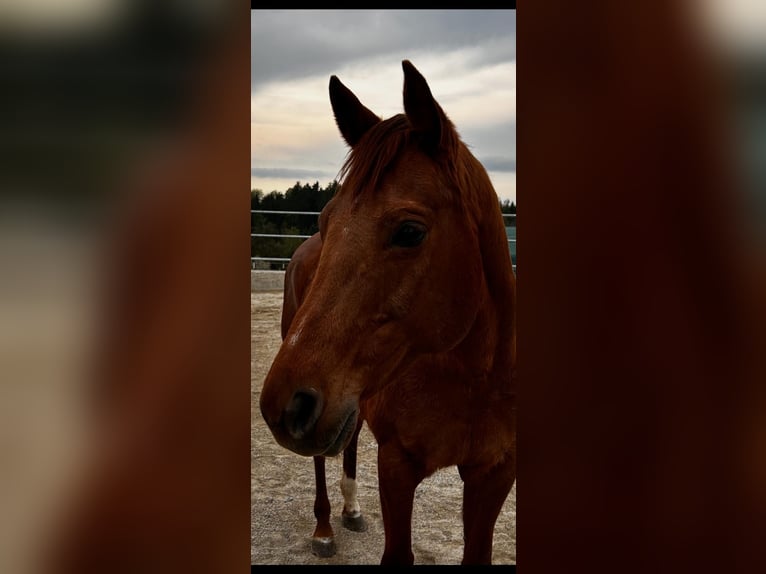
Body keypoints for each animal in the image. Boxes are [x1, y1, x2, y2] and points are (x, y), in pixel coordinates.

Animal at [260, 60, 516, 565]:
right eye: (327, 220)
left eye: (410, 231)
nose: (283, 404)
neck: (473, 378)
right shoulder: (397, 466)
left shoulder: (494, 473)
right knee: (320, 458)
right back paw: (325, 528)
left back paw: (352, 509)